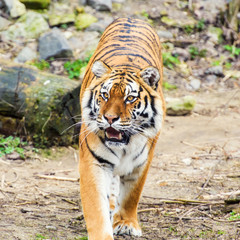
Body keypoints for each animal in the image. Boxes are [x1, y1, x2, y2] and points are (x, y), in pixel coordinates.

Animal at [79, 17, 165, 240]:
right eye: (105, 95)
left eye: (130, 98)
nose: (110, 118)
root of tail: (132, 17)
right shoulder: (94, 162)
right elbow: (95, 206)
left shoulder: (142, 162)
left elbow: (131, 195)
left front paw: (126, 224)